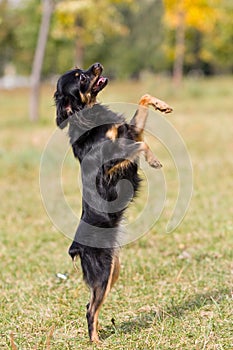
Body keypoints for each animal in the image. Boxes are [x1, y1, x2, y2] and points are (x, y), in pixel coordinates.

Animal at [54, 63, 171, 342]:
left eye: (81, 70)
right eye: (81, 78)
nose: (97, 65)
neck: (87, 115)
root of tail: (77, 247)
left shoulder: (130, 130)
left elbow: (143, 99)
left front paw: (161, 105)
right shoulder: (110, 164)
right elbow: (140, 145)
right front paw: (153, 160)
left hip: (112, 270)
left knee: (89, 305)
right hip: (103, 273)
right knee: (90, 310)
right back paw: (96, 342)